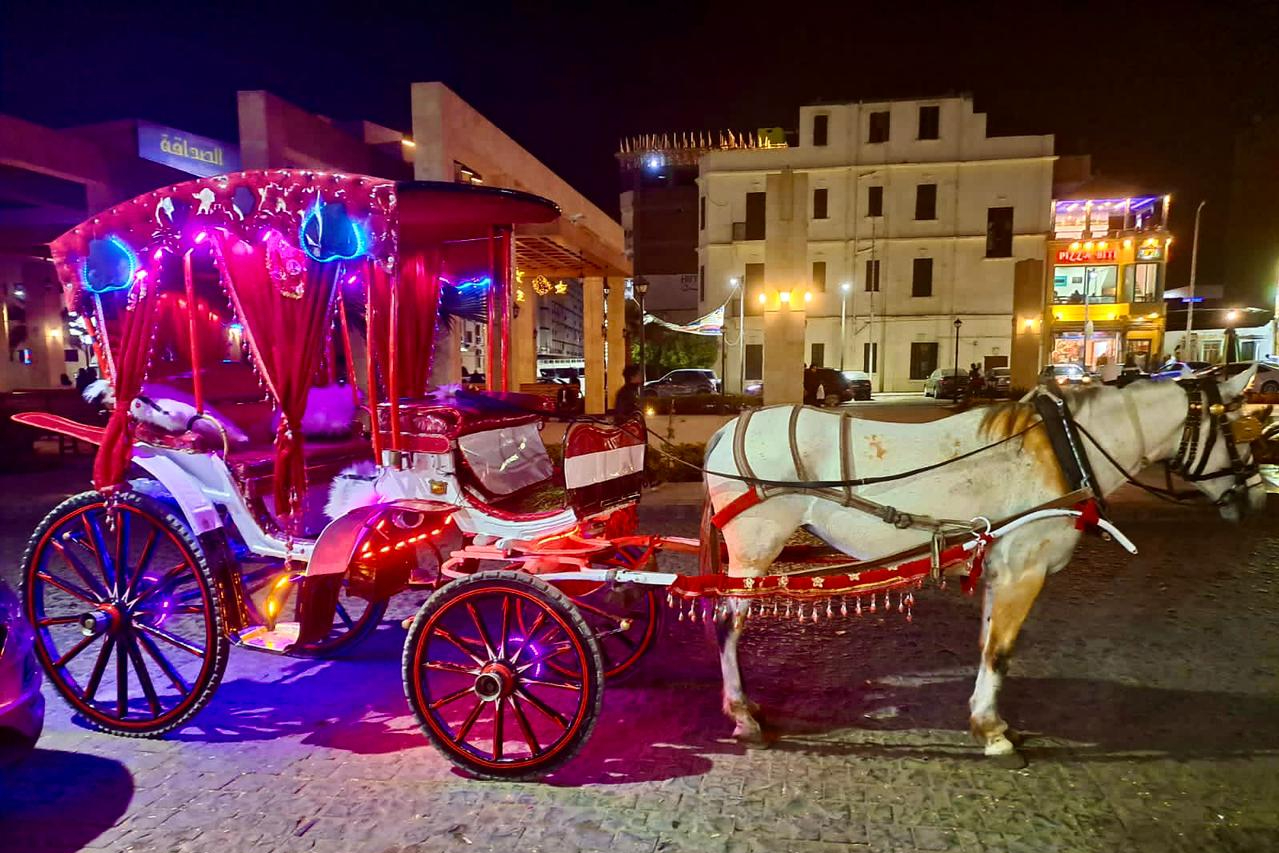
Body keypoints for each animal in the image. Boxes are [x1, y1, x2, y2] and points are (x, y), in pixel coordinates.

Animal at [706, 373, 1263, 767]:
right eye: (1241, 431)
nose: (1255, 496)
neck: (1066, 449)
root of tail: (728, 429)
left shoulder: (1001, 571)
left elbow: (988, 646)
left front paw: (986, 719)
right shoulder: (1024, 571)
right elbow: (1001, 652)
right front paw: (994, 733)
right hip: (755, 550)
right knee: (727, 626)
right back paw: (742, 713)